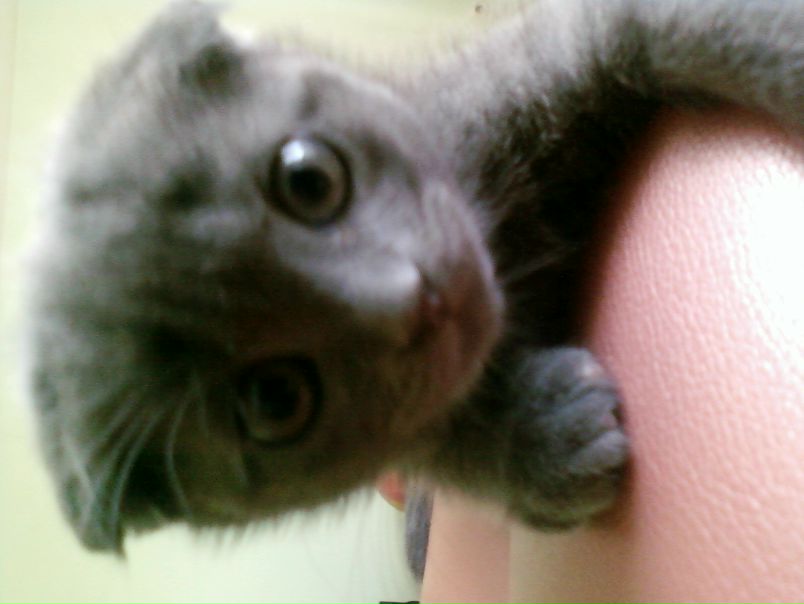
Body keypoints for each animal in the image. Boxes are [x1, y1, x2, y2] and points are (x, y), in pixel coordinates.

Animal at [28, 0, 802, 558]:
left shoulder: (522, 70)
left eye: (309, 179)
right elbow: (441, 448)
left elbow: (645, 27)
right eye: (276, 399)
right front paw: (541, 444)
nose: (411, 300)